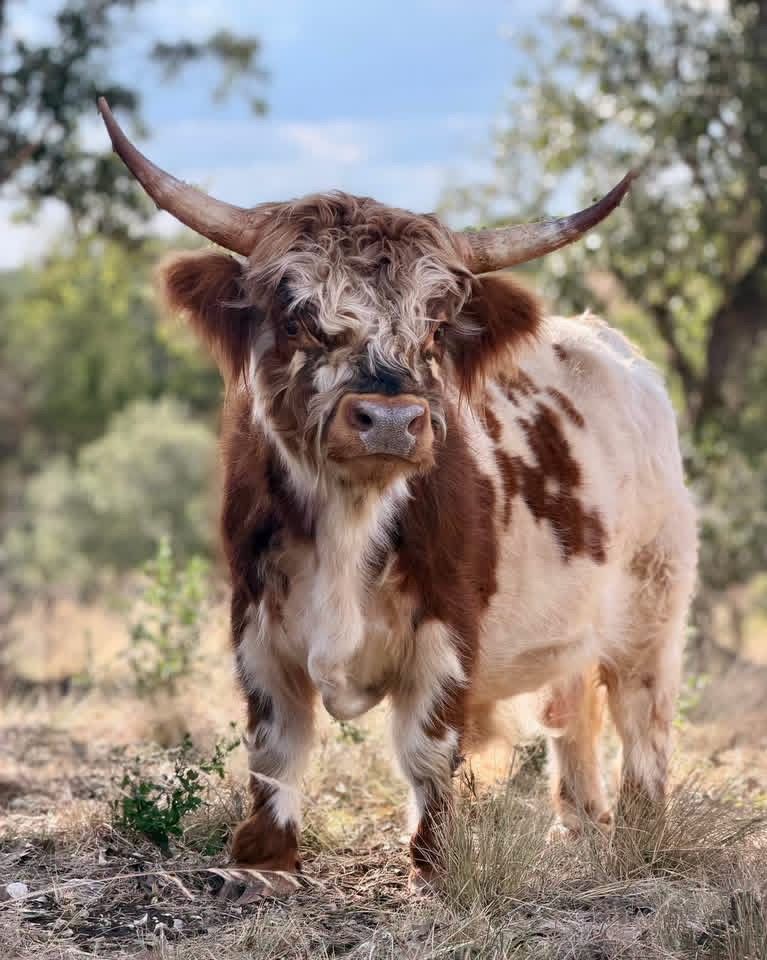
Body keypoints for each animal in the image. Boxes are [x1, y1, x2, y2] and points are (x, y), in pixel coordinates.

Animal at [98, 99, 697, 895]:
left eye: (436, 324)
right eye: (297, 313)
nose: (389, 419)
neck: (350, 518)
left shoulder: (449, 629)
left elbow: (426, 748)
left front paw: (432, 865)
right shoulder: (254, 620)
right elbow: (275, 743)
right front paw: (263, 861)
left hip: (652, 608)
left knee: (640, 716)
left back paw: (641, 835)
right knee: (571, 715)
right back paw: (576, 829)